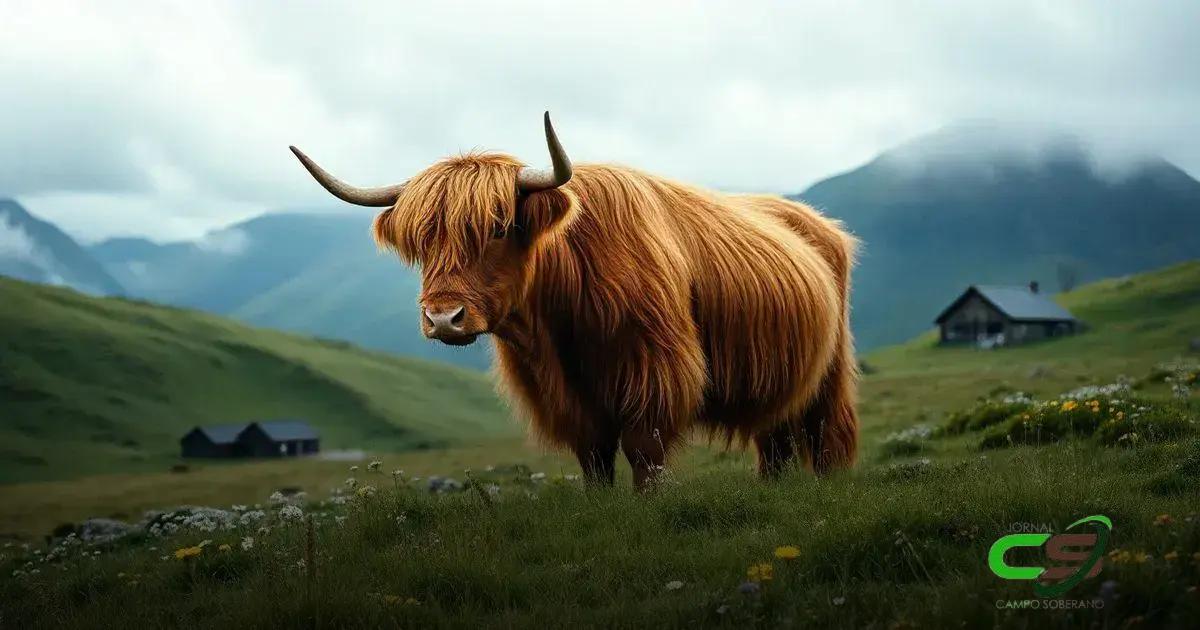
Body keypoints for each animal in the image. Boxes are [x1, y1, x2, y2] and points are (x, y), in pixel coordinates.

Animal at [290, 112, 859, 489]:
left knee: (824, 433)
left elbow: (643, 451)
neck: (558, 326)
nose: (443, 318)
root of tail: (820, 224)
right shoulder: (563, 396)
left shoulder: (655, 371)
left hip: (830, 372)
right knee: (777, 440)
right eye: (423, 242)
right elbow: (594, 457)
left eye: (500, 227)